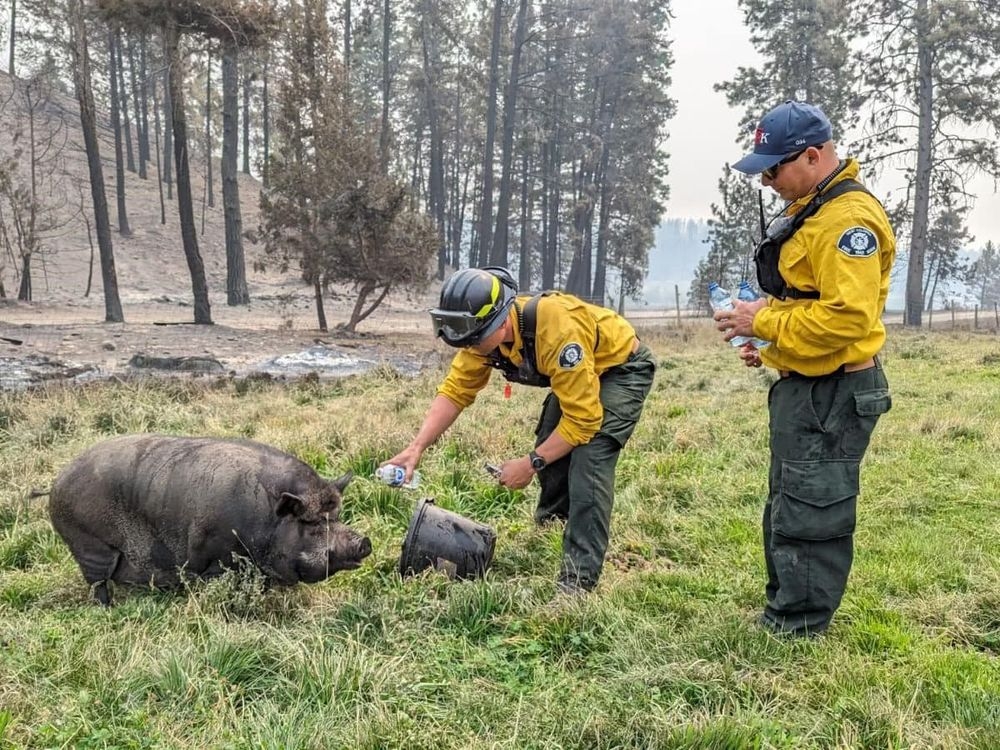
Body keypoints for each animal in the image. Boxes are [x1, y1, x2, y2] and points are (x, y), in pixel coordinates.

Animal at [48, 434, 374, 604]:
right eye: (312, 523)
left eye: (337, 516)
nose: (365, 542)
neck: (265, 521)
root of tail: (57, 483)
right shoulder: (217, 558)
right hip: (90, 544)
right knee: (97, 583)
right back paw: (108, 607)